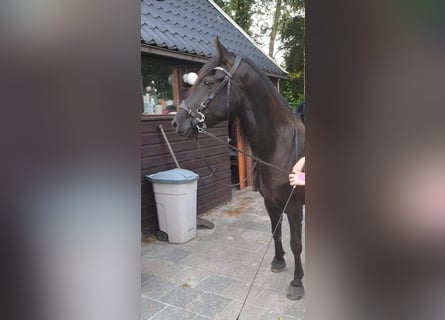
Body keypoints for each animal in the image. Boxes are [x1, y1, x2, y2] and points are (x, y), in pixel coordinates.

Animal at [171, 37, 306, 300]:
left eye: (207, 82)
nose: (176, 122)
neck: (281, 147)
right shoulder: (270, 202)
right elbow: (275, 232)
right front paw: (278, 261)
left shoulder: (294, 207)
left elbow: (296, 244)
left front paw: (297, 282)